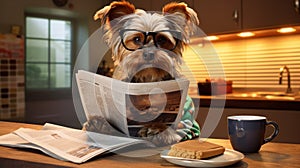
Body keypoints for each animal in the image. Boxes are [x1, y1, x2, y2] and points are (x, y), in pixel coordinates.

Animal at [84, 0, 202, 146]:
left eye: (162, 39)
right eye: (136, 39)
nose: (149, 53)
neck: (149, 78)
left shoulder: (187, 122)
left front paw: (157, 128)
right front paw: (101, 124)